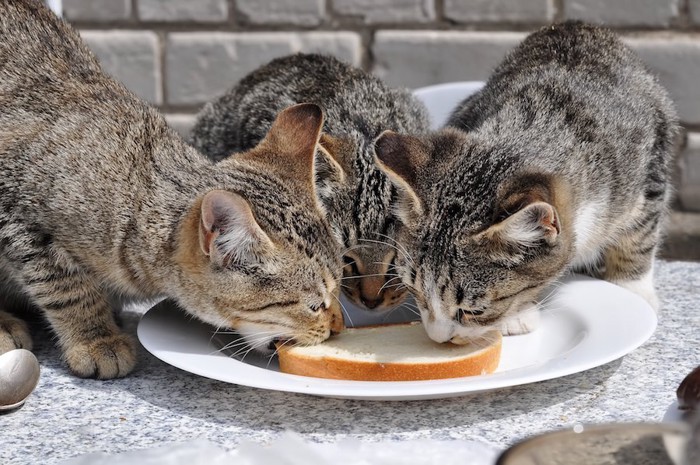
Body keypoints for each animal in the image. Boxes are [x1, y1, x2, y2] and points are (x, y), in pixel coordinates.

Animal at [0, 0, 344, 376]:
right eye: (314, 304)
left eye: (338, 289)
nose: (338, 327)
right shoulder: (16, 212)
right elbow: (66, 285)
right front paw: (96, 337)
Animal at [378, 21, 680, 342]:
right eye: (414, 290)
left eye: (472, 311)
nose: (438, 338)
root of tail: (574, 25)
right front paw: (517, 315)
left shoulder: (649, 168)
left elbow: (639, 236)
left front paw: (632, 289)